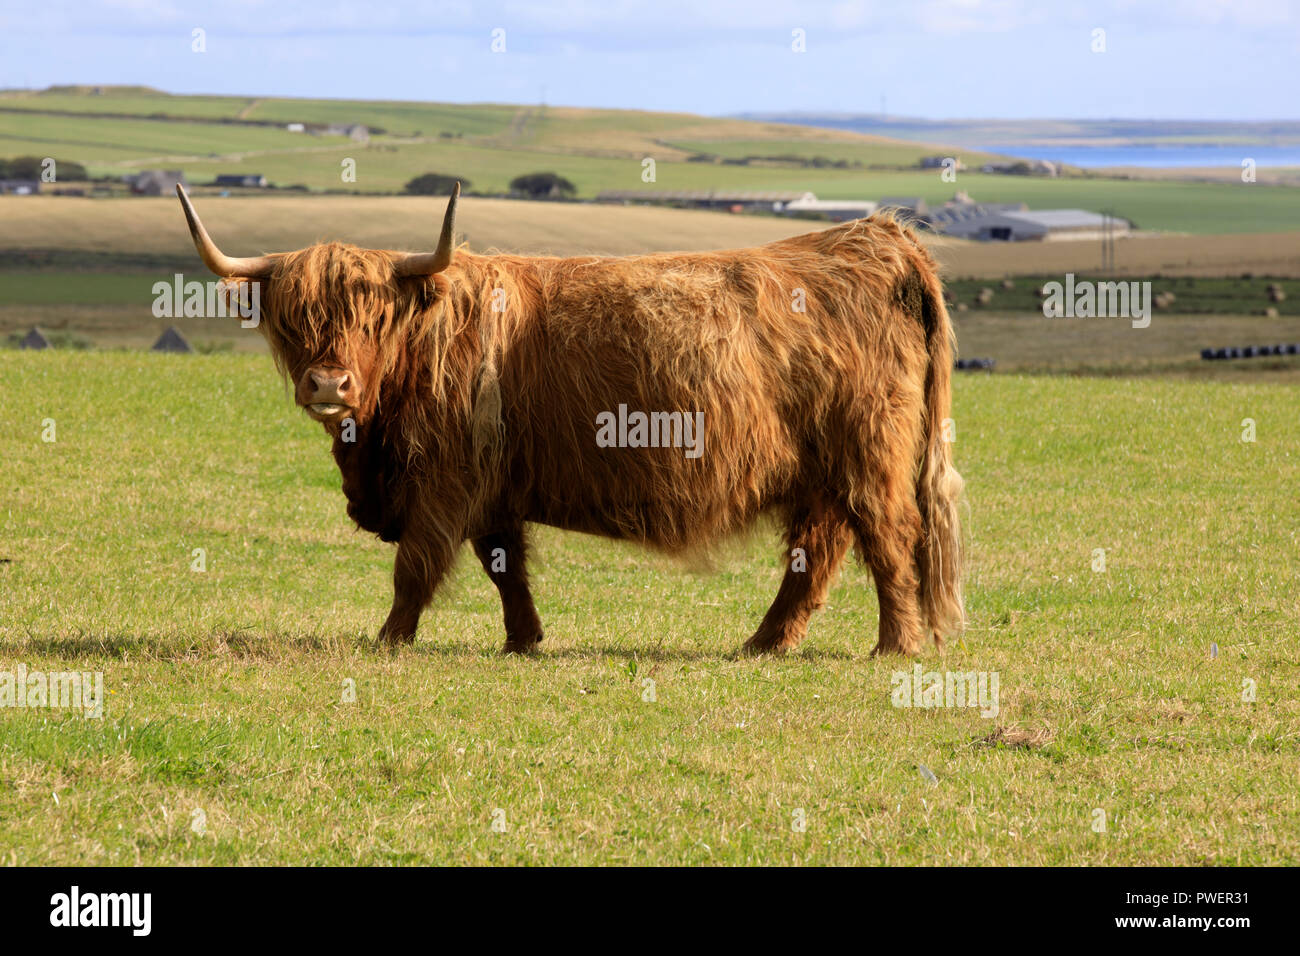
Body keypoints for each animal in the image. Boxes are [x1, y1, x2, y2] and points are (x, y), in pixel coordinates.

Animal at [178, 180, 961, 658]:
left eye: (373, 318)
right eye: (292, 321)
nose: (328, 383)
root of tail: (876, 236)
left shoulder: (446, 478)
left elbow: (416, 567)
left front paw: (390, 638)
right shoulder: (493, 482)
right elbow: (504, 563)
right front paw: (524, 640)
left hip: (870, 454)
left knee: (890, 538)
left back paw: (896, 645)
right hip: (823, 473)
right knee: (817, 553)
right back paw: (762, 644)